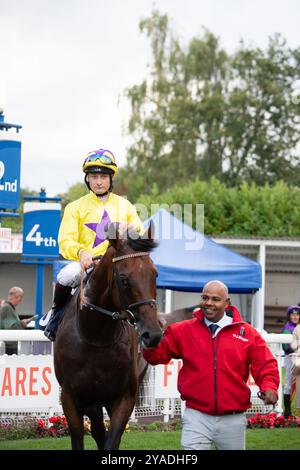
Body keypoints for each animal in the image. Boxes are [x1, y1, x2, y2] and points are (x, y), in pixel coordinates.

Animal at [53, 222, 162, 450]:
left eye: (155, 274)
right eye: (124, 279)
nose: (153, 334)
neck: (97, 337)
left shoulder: (124, 397)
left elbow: (112, 441)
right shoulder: (71, 397)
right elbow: (80, 437)